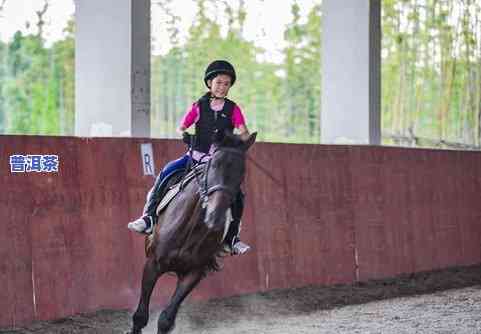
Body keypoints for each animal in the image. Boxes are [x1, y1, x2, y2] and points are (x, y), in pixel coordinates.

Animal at [127, 132, 255, 332]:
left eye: (242, 172)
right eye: (214, 165)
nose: (216, 217)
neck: (190, 227)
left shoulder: (194, 273)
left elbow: (166, 320)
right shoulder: (152, 264)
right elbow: (140, 316)